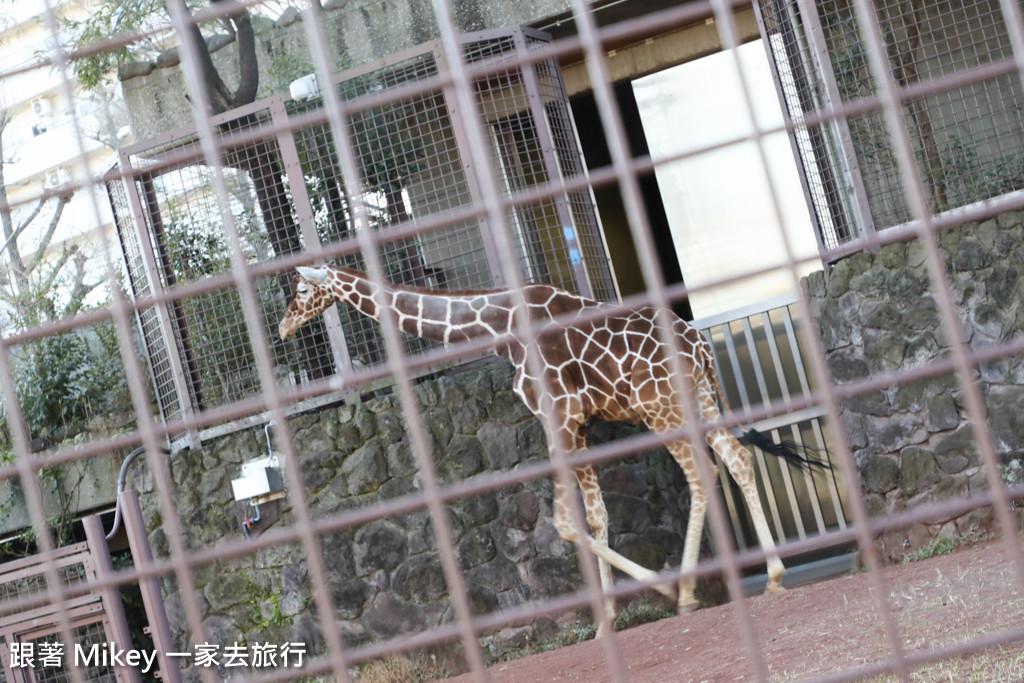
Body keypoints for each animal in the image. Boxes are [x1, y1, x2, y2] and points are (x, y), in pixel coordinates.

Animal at [280, 264, 823, 626]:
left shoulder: (558, 416)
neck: (498, 325)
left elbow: (564, 521)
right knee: (738, 459)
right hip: (700, 400)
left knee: (703, 471)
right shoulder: (579, 424)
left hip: (662, 408)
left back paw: (688, 589)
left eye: (302, 288)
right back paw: (774, 574)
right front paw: (608, 616)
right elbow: (597, 515)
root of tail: (703, 346)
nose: (285, 328)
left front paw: (651, 592)